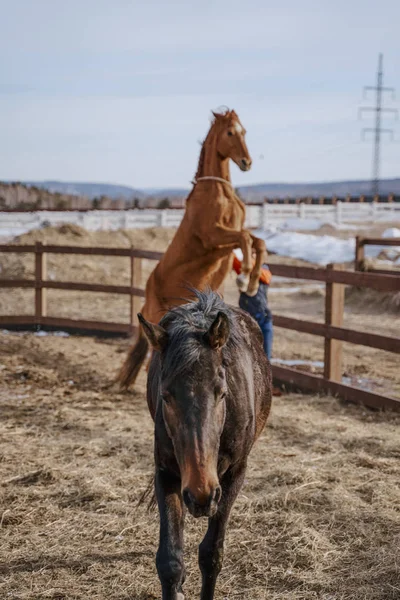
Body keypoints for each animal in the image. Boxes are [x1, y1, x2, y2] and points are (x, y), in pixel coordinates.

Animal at [117, 109, 268, 390]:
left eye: (244, 131)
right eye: (230, 132)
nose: (246, 162)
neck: (217, 192)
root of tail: (147, 296)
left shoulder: (229, 237)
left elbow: (257, 242)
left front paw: (251, 282)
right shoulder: (213, 237)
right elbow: (244, 239)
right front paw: (243, 278)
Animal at [139, 290, 274, 600]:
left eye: (222, 393)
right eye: (166, 396)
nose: (201, 493)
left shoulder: (234, 475)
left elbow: (211, 555)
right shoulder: (166, 473)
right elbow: (170, 561)